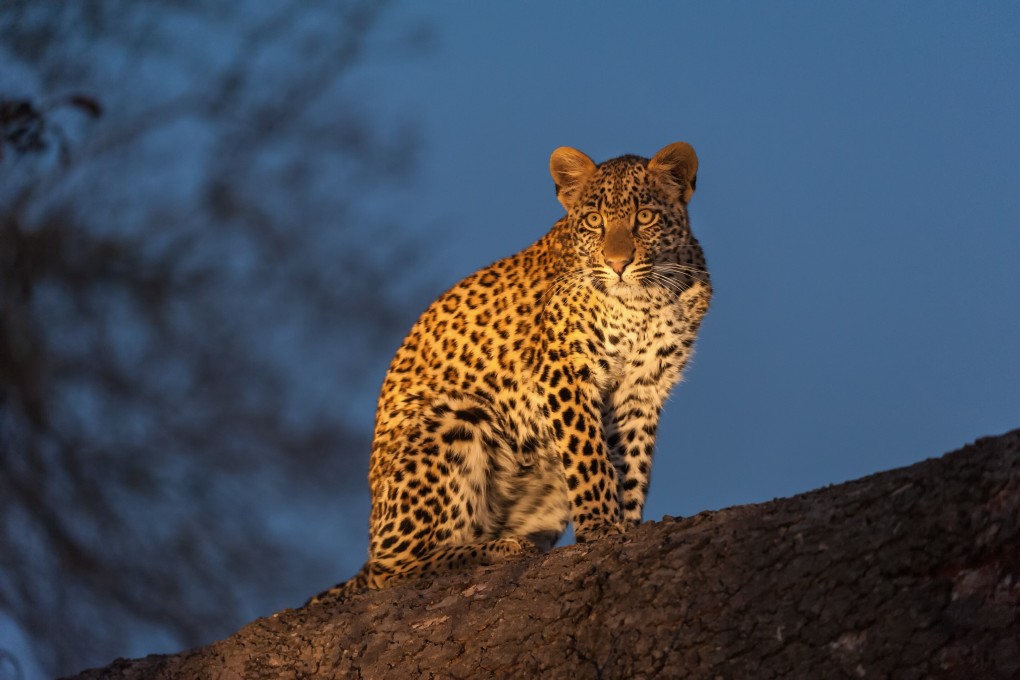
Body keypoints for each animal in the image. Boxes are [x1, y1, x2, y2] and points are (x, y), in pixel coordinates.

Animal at [308, 142, 711, 604]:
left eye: (644, 216)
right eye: (595, 220)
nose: (618, 263)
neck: (645, 301)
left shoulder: (641, 388)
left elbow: (630, 462)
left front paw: (626, 523)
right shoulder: (563, 371)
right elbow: (589, 454)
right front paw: (599, 527)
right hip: (456, 415)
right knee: (389, 571)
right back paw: (495, 549)